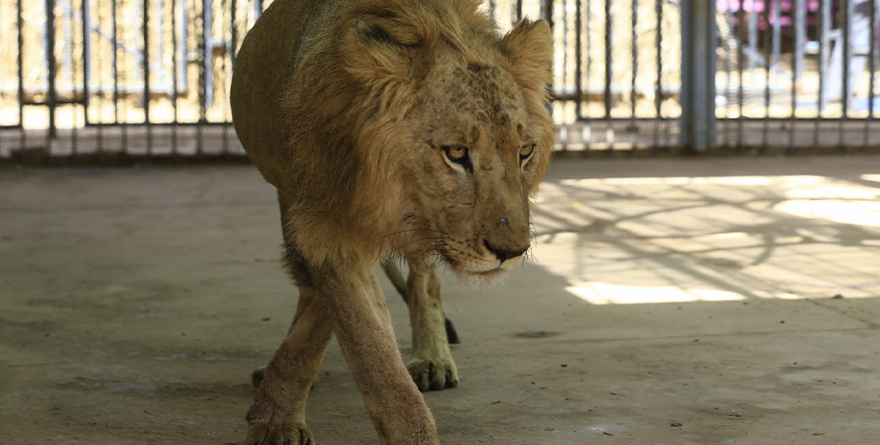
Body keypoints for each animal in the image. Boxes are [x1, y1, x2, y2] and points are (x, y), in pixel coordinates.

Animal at [230, 0, 552, 440]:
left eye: (525, 151)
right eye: (455, 152)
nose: (512, 251)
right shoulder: (324, 226)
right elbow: (373, 355)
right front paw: (278, 420)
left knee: (424, 281)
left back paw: (433, 360)